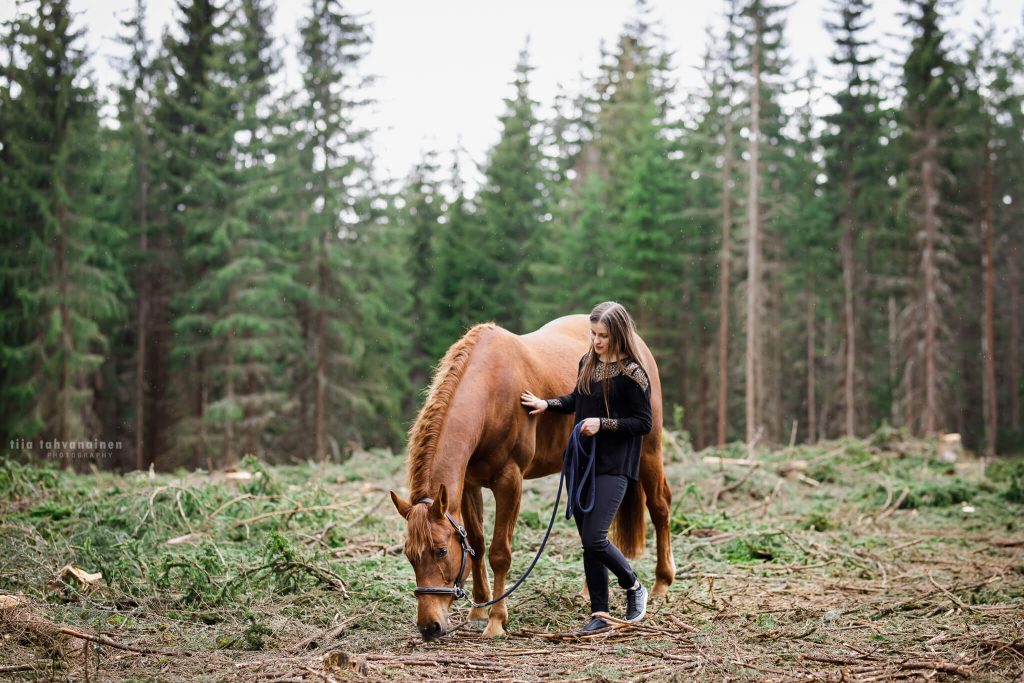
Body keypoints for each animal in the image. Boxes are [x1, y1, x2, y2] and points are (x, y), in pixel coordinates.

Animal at [387, 313, 675, 643]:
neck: (491, 392)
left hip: (649, 450)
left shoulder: (509, 481)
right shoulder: (469, 485)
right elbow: (477, 544)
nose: (429, 627)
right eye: (409, 555)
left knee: (659, 506)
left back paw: (661, 584)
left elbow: (499, 553)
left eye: (441, 551)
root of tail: (637, 345)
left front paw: (496, 621)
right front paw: (478, 610)